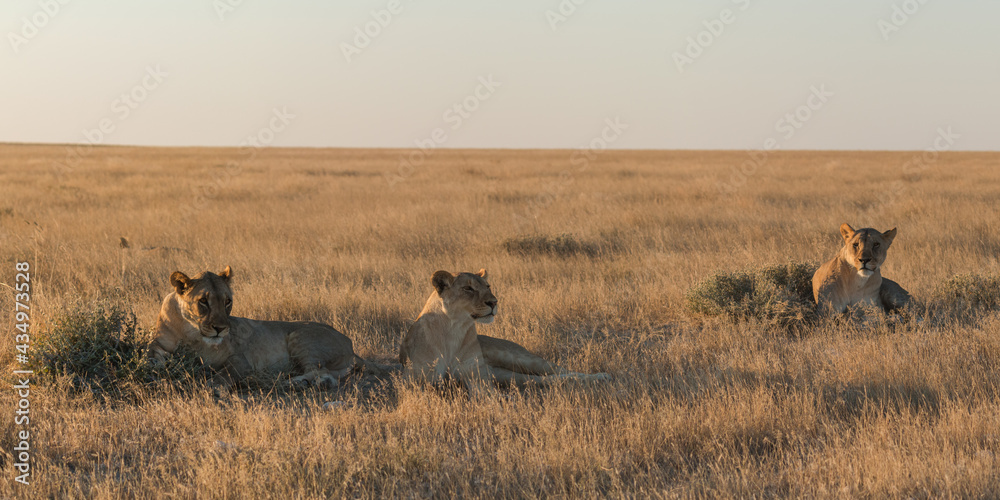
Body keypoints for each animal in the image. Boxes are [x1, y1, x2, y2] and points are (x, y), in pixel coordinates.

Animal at [148, 266, 380, 388]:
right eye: (203, 301)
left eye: (227, 301)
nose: (221, 329)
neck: (192, 333)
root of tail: (351, 346)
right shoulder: (159, 344)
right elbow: (151, 356)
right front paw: (155, 372)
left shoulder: (241, 359)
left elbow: (226, 374)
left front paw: (213, 386)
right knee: (329, 377)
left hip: (301, 337)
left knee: (319, 372)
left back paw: (289, 382)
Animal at [398, 269, 611, 389]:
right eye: (468, 288)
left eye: (488, 286)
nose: (494, 302)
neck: (454, 329)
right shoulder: (419, 380)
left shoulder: (478, 377)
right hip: (506, 376)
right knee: (542, 379)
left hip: (519, 358)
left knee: (558, 370)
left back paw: (601, 377)